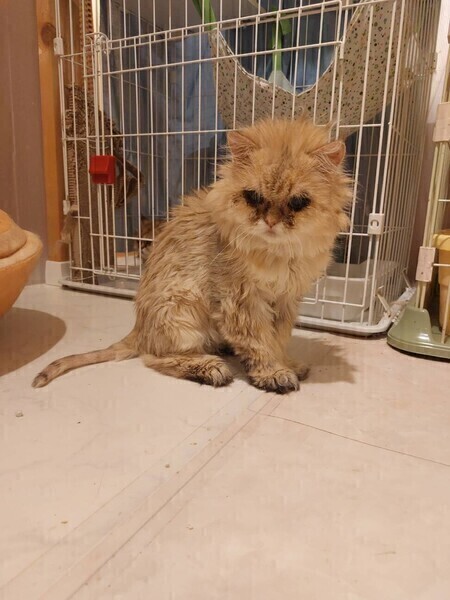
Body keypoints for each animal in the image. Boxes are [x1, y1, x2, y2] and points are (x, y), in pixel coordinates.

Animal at [33, 117, 352, 394]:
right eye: (253, 197)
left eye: (298, 202)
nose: (271, 222)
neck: (277, 254)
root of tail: (139, 329)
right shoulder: (242, 301)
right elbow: (260, 343)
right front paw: (273, 373)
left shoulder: (286, 301)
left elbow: (279, 339)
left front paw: (287, 365)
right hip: (182, 312)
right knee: (155, 357)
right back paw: (211, 368)